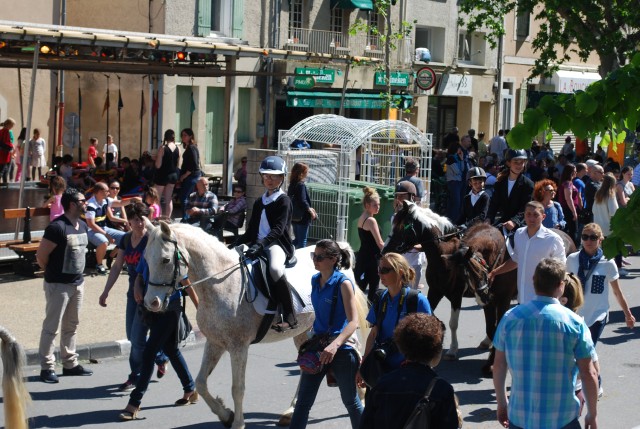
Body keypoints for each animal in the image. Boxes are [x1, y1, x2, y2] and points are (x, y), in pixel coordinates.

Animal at [142, 221, 368, 428]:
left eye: (165, 260)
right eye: (145, 258)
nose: (151, 303)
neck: (222, 282)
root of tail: (341, 249)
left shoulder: (238, 347)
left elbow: (237, 388)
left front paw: (237, 423)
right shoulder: (215, 343)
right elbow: (201, 383)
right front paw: (226, 415)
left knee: (354, 351)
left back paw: (361, 394)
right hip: (304, 333)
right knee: (306, 369)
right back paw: (290, 411)